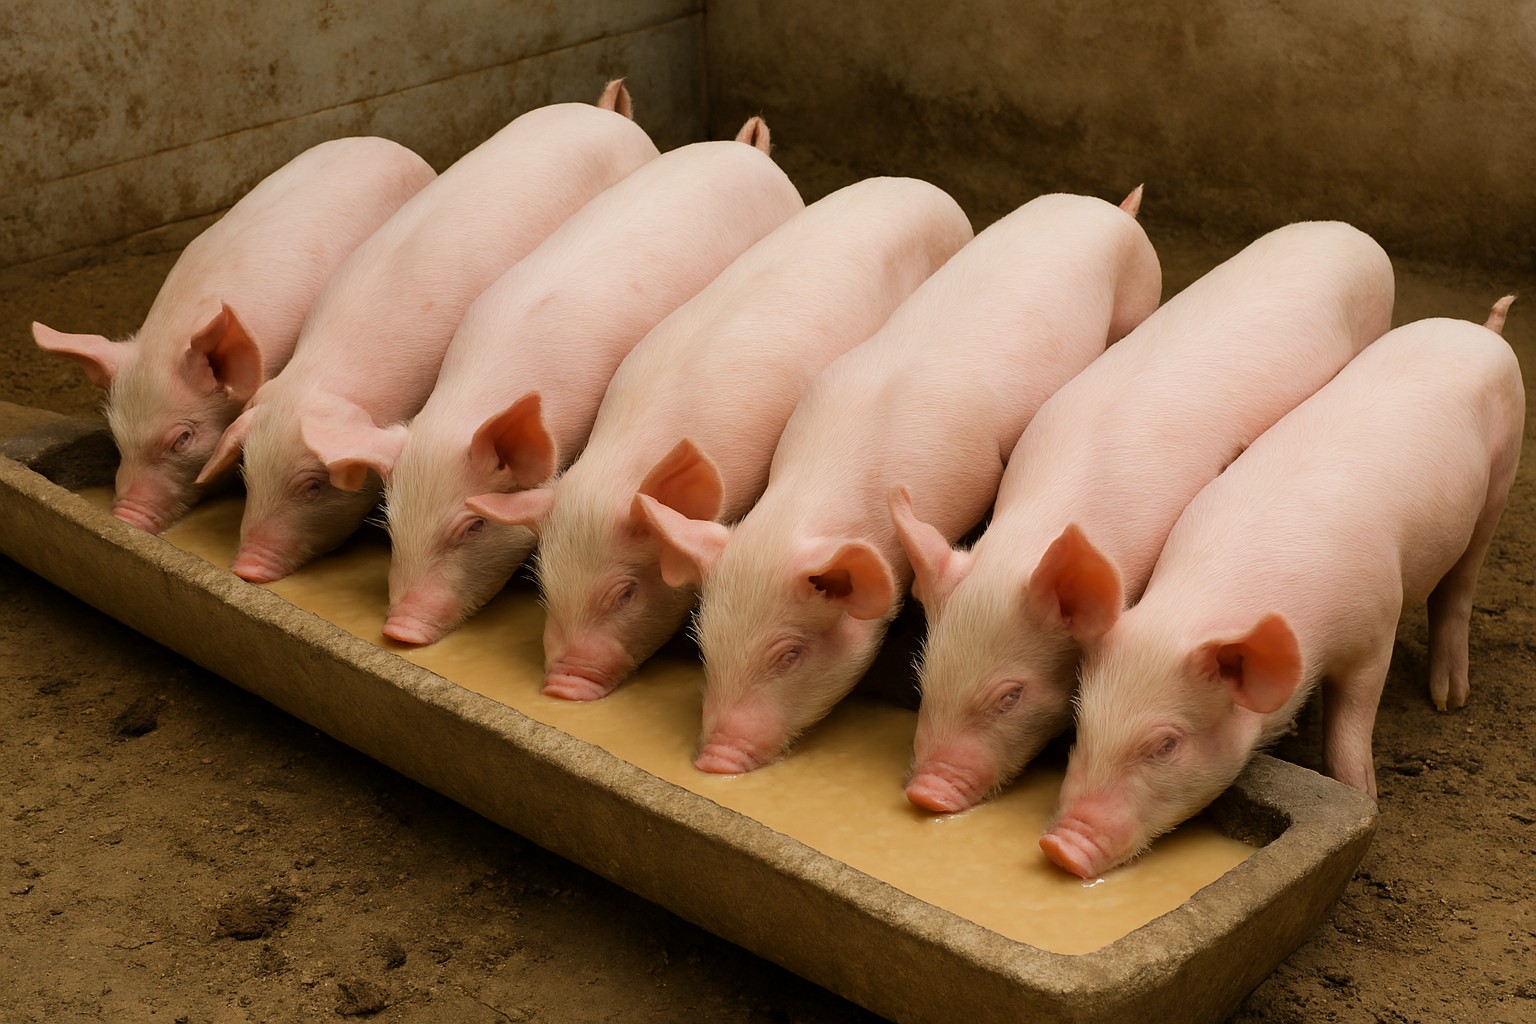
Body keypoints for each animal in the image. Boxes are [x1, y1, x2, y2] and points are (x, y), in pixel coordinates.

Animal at [1040, 298, 1524, 879]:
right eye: (1079, 723)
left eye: (1165, 745)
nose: (1060, 846)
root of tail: (1478, 330)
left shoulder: (1375, 629)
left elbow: (1351, 726)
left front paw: (1362, 795)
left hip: (1501, 477)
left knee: (1460, 585)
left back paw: (1449, 700)